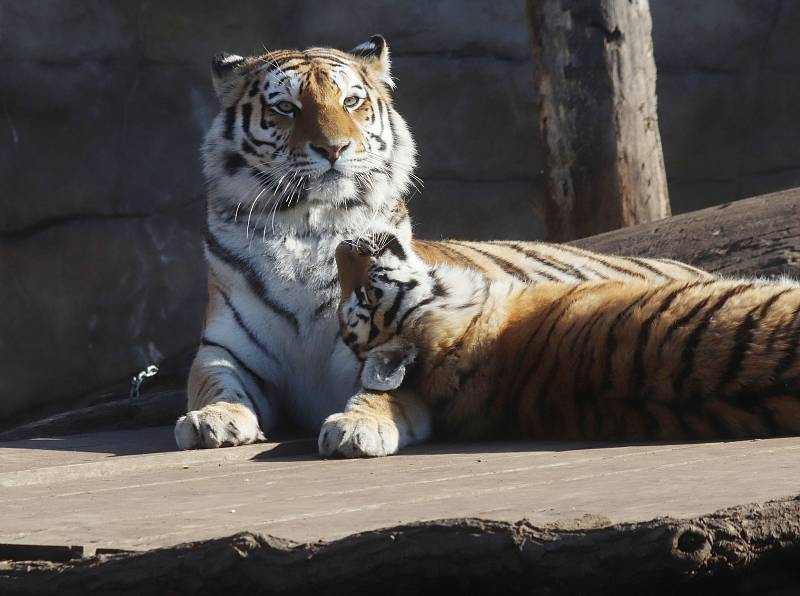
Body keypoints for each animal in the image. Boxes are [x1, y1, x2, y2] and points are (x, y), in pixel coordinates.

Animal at [177, 35, 712, 450]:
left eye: (351, 102)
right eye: (286, 108)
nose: (334, 148)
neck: (308, 228)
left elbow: (382, 390)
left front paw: (357, 426)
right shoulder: (224, 349)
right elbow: (213, 383)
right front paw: (212, 420)